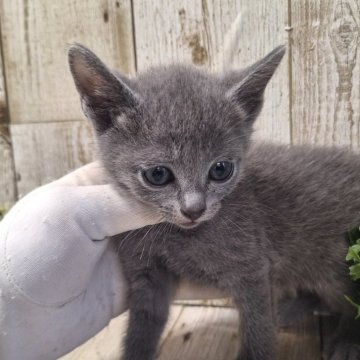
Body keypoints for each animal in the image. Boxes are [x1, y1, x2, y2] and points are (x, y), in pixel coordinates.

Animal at [68, 45, 360, 360]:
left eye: (221, 169)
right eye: (158, 174)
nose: (194, 209)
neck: (181, 236)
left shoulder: (252, 267)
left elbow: (258, 326)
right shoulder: (146, 273)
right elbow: (143, 325)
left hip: (333, 258)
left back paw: (346, 340)